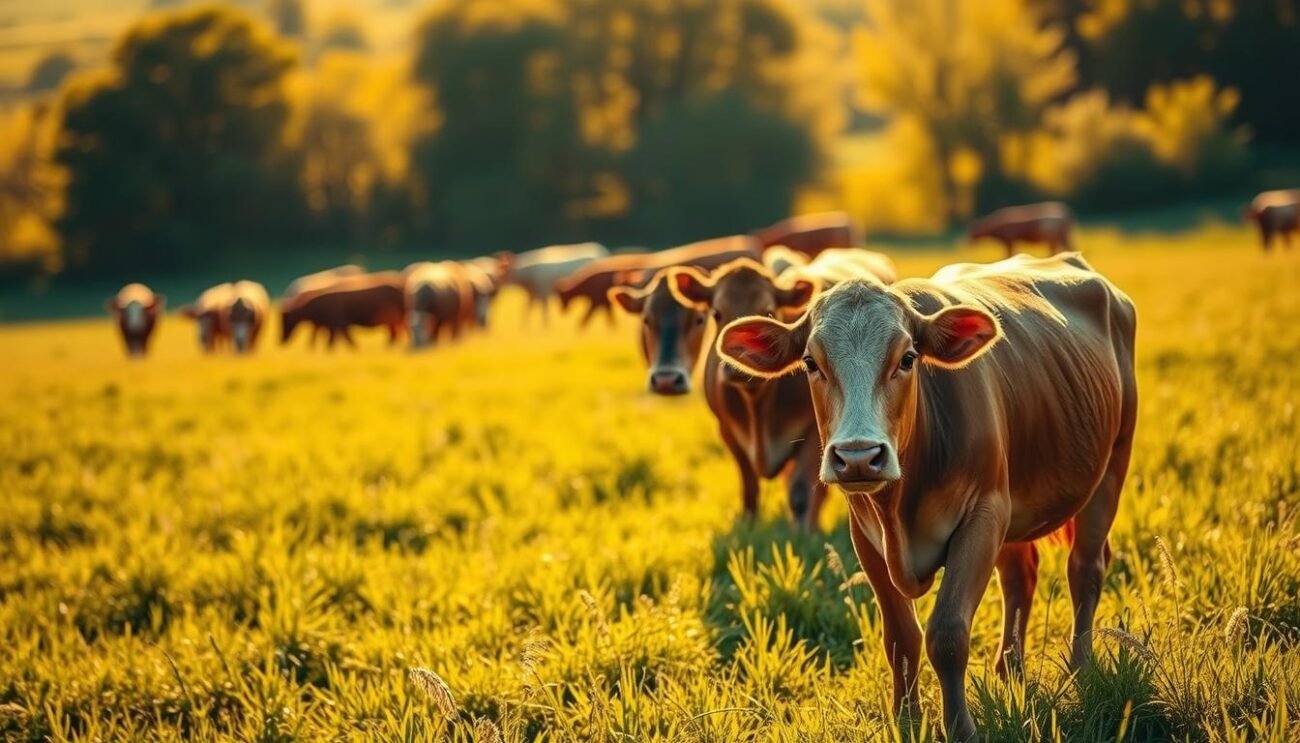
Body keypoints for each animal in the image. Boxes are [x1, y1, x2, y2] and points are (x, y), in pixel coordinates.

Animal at [715, 253, 1137, 740]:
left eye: (907, 358)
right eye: (810, 363)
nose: (858, 456)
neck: (901, 505)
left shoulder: (983, 515)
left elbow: (947, 633)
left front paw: (960, 727)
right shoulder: (868, 536)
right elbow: (902, 636)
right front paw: (907, 720)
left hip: (1110, 468)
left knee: (1084, 569)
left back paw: (1079, 671)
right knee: (1021, 577)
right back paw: (1009, 672)